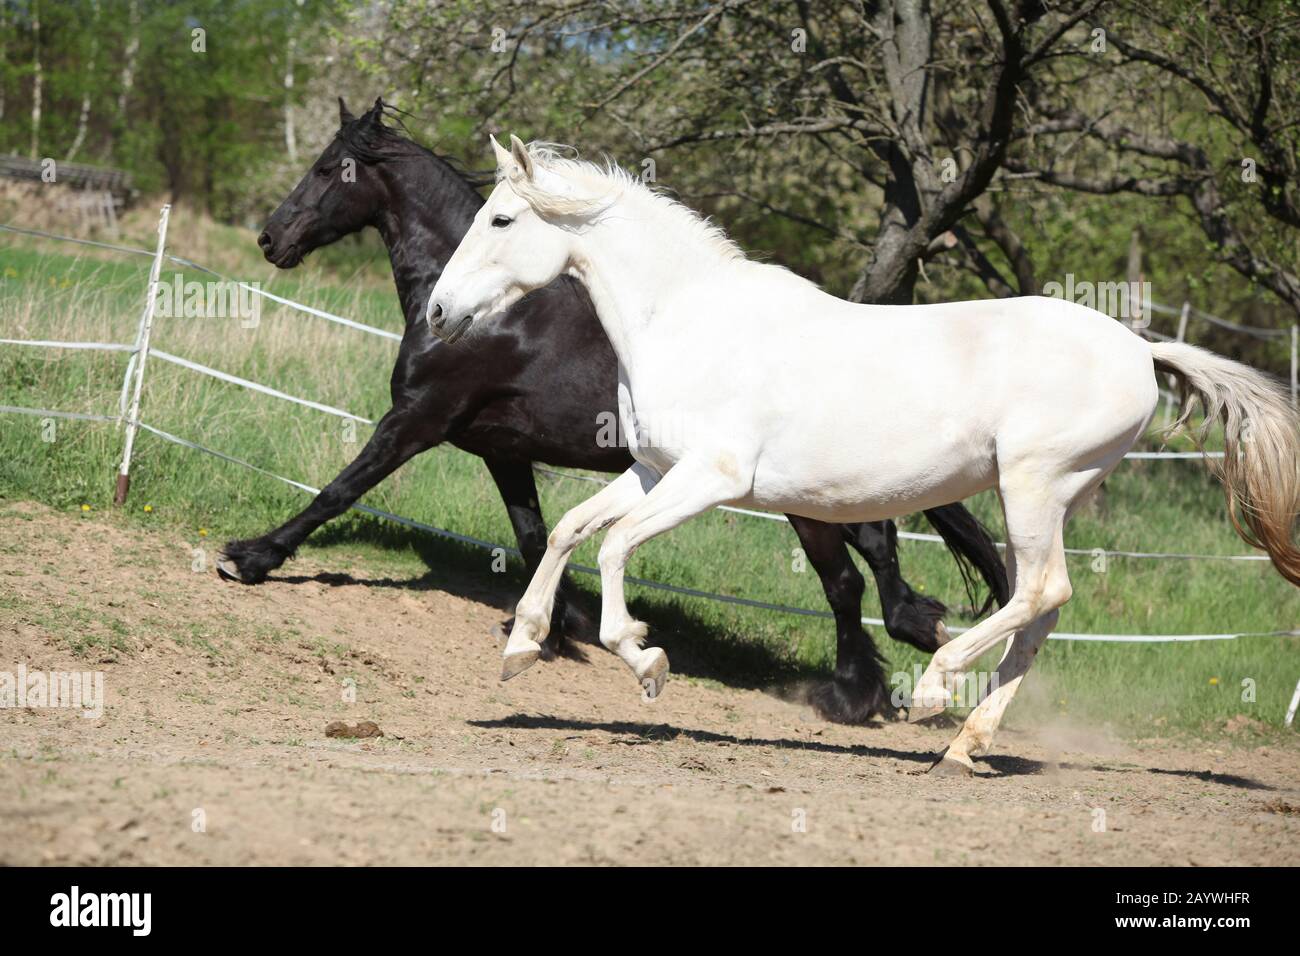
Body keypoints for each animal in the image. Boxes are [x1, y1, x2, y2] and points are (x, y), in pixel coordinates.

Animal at [218, 97, 1009, 724]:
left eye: (329, 169)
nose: (270, 238)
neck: (499, 320)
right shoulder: (502, 450)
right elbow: (537, 533)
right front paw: (556, 626)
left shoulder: (416, 421)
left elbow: (338, 490)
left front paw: (250, 557)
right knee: (875, 573)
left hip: (807, 503)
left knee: (851, 581)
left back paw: (857, 692)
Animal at [427, 135, 1300, 774]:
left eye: (501, 221)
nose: (437, 312)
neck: (687, 319)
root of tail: (1140, 349)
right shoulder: (654, 471)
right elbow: (571, 527)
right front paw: (521, 647)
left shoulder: (711, 479)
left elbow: (612, 548)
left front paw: (645, 661)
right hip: (1051, 495)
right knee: (1042, 609)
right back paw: (964, 747)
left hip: (1034, 485)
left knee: (1041, 591)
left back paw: (936, 695)